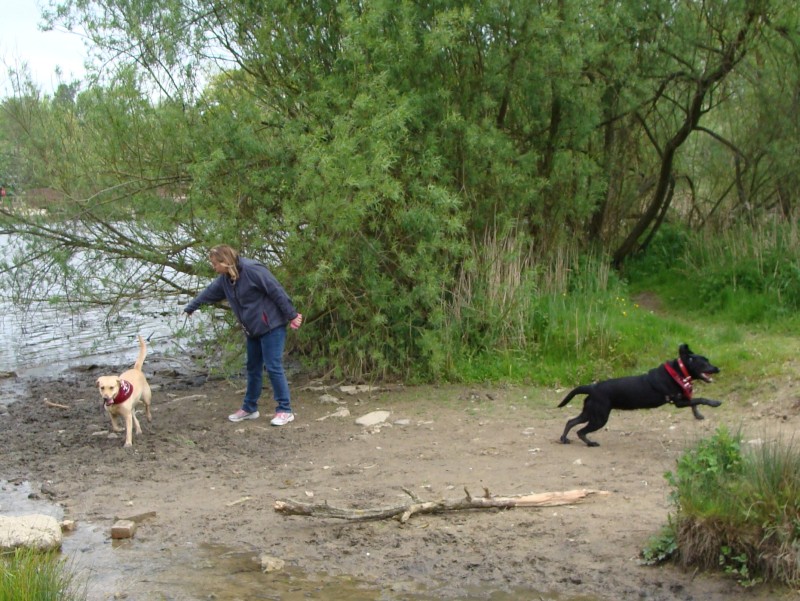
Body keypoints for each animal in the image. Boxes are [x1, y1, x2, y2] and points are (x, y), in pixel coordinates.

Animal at [560, 342, 720, 446]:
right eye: (705, 363)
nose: (717, 368)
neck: (679, 371)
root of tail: (592, 387)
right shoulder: (678, 402)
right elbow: (699, 399)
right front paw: (715, 403)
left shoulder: (683, 397)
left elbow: (694, 401)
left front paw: (698, 415)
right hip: (599, 417)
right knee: (580, 431)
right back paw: (590, 443)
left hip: (590, 412)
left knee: (571, 422)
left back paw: (564, 439)